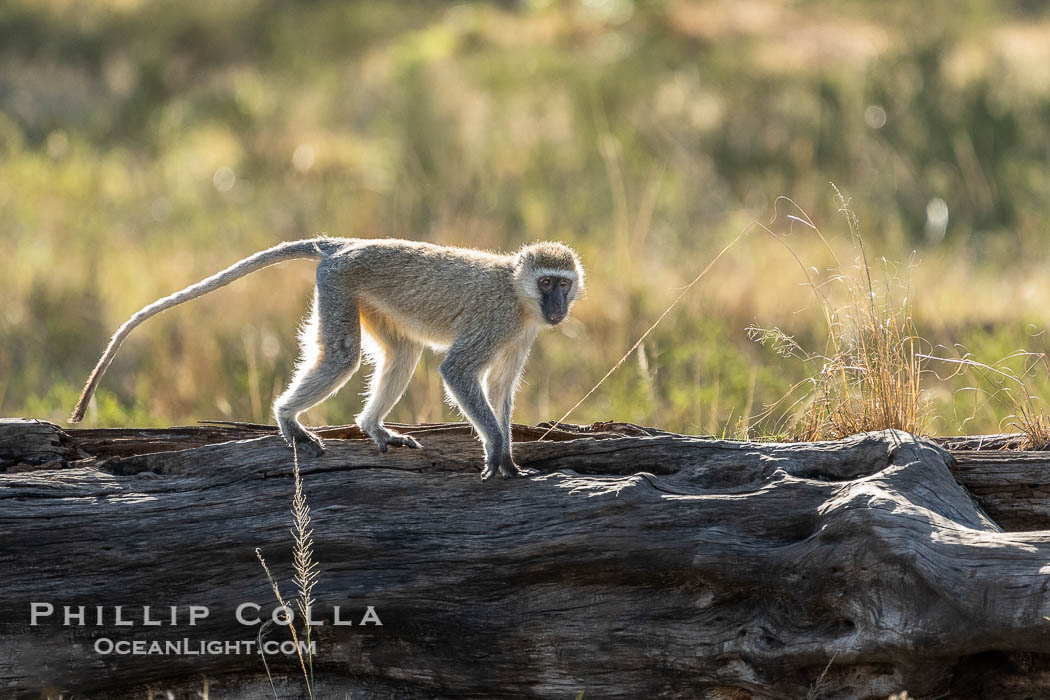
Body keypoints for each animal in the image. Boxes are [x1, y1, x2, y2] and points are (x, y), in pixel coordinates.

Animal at [70, 238, 588, 478]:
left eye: (563, 284)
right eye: (546, 282)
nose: (557, 307)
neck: (518, 294)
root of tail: (344, 244)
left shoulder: (521, 334)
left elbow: (500, 389)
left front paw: (509, 455)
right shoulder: (498, 321)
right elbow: (456, 371)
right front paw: (496, 448)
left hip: (365, 296)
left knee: (401, 352)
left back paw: (371, 426)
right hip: (339, 282)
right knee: (341, 356)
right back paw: (287, 417)